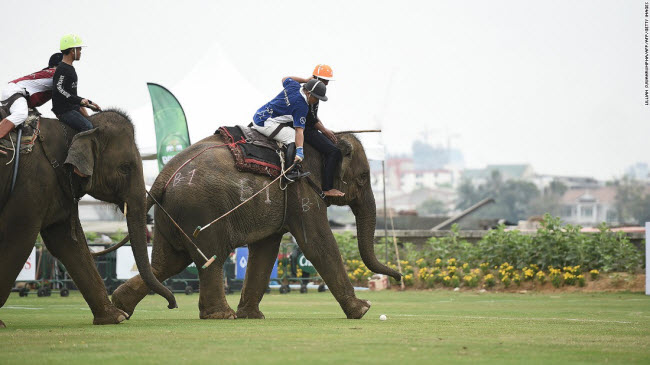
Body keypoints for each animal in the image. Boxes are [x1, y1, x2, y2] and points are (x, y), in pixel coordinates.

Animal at [0, 109, 175, 328]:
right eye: (125, 167)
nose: (172, 305)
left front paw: (115, 317)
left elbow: (68, 244)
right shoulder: (31, 185)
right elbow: (18, 240)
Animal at [109, 131, 398, 318]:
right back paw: (221, 315)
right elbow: (317, 243)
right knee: (211, 258)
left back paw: (121, 307)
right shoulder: (301, 190)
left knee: (168, 263)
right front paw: (363, 309)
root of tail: (162, 177)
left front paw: (252, 316)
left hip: (170, 215)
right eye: (363, 177)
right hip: (200, 210)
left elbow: (266, 249)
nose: (397, 276)